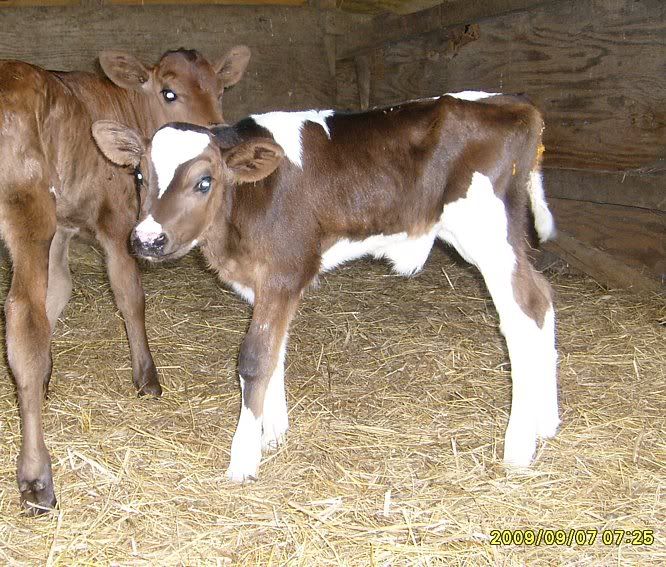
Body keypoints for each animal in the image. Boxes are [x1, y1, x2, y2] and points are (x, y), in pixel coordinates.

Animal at [0, 45, 251, 514]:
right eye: (169, 92)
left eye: (221, 88)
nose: (214, 133)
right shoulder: (117, 221)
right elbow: (129, 296)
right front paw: (146, 379)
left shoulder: (63, 226)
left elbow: (58, 293)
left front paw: (43, 381)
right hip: (27, 206)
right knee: (23, 317)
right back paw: (37, 478)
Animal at [92, 91, 559, 484]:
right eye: (139, 175)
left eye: (204, 181)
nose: (147, 240)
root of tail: (513, 104)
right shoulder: (264, 283)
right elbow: (275, 353)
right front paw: (273, 434)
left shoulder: (284, 271)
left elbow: (254, 360)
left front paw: (243, 459)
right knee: (544, 298)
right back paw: (548, 423)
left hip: (487, 233)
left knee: (524, 313)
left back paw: (519, 446)